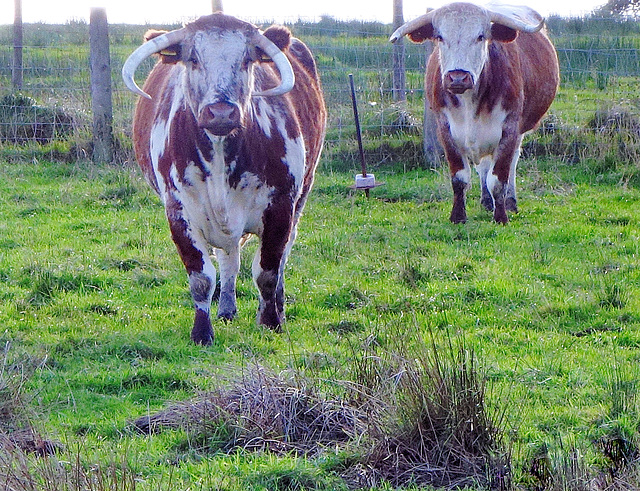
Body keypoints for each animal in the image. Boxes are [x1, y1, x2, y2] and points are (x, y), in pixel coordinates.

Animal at [123, 15, 328, 346]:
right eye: (192, 59)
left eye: (246, 59)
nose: (221, 112)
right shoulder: (178, 212)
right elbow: (201, 277)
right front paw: (202, 332)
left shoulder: (281, 206)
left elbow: (268, 271)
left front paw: (271, 322)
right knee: (228, 258)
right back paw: (227, 309)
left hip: (301, 198)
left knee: (279, 258)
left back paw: (277, 307)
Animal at [388, 1, 556, 224]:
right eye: (440, 37)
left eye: (481, 36)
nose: (458, 77)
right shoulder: (445, 129)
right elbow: (459, 177)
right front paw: (458, 216)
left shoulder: (510, 128)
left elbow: (499, 179)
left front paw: (501, 216)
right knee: (483, 165)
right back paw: (486, 201)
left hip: (519, 129)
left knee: (512, 162)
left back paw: (510, 202)